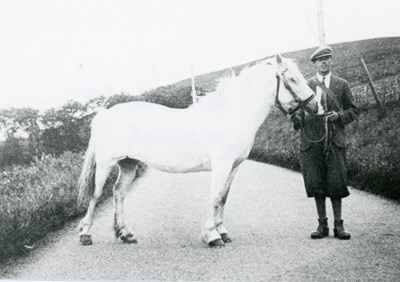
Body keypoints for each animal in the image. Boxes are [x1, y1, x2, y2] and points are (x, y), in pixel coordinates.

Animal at [76, 54, 318, 247]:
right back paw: (85, 234)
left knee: (118, 193)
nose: (315, 106)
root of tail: (105, 114)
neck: (229, 116)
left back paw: (125, 234)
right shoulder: (222, 165)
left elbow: (223, 198)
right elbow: (215, 197)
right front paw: (212, 236)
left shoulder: (234, 167)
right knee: (96, 194)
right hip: (106, 163)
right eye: (293, 79)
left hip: (128, 163)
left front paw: (222, 232)